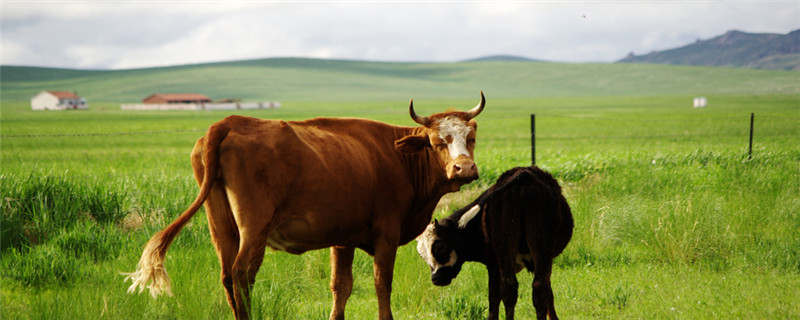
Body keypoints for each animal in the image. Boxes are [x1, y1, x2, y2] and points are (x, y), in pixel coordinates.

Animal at [123, 92, 488, 318]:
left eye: (471, 138)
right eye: (437, 142)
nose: (465, 168)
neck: (397, 157)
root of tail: (228, 122)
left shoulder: (343, 238)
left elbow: (341, 286)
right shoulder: (386, 233)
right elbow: (381, 283)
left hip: (221, 226)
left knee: (227, 275)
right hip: (254, 226)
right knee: (242, 274)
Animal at [416, 166, 572, 318]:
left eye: (440, 247)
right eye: (422, 255)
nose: (436, 278)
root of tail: (524, 176)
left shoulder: (493, 264)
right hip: (528, 247)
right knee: (530, 287)